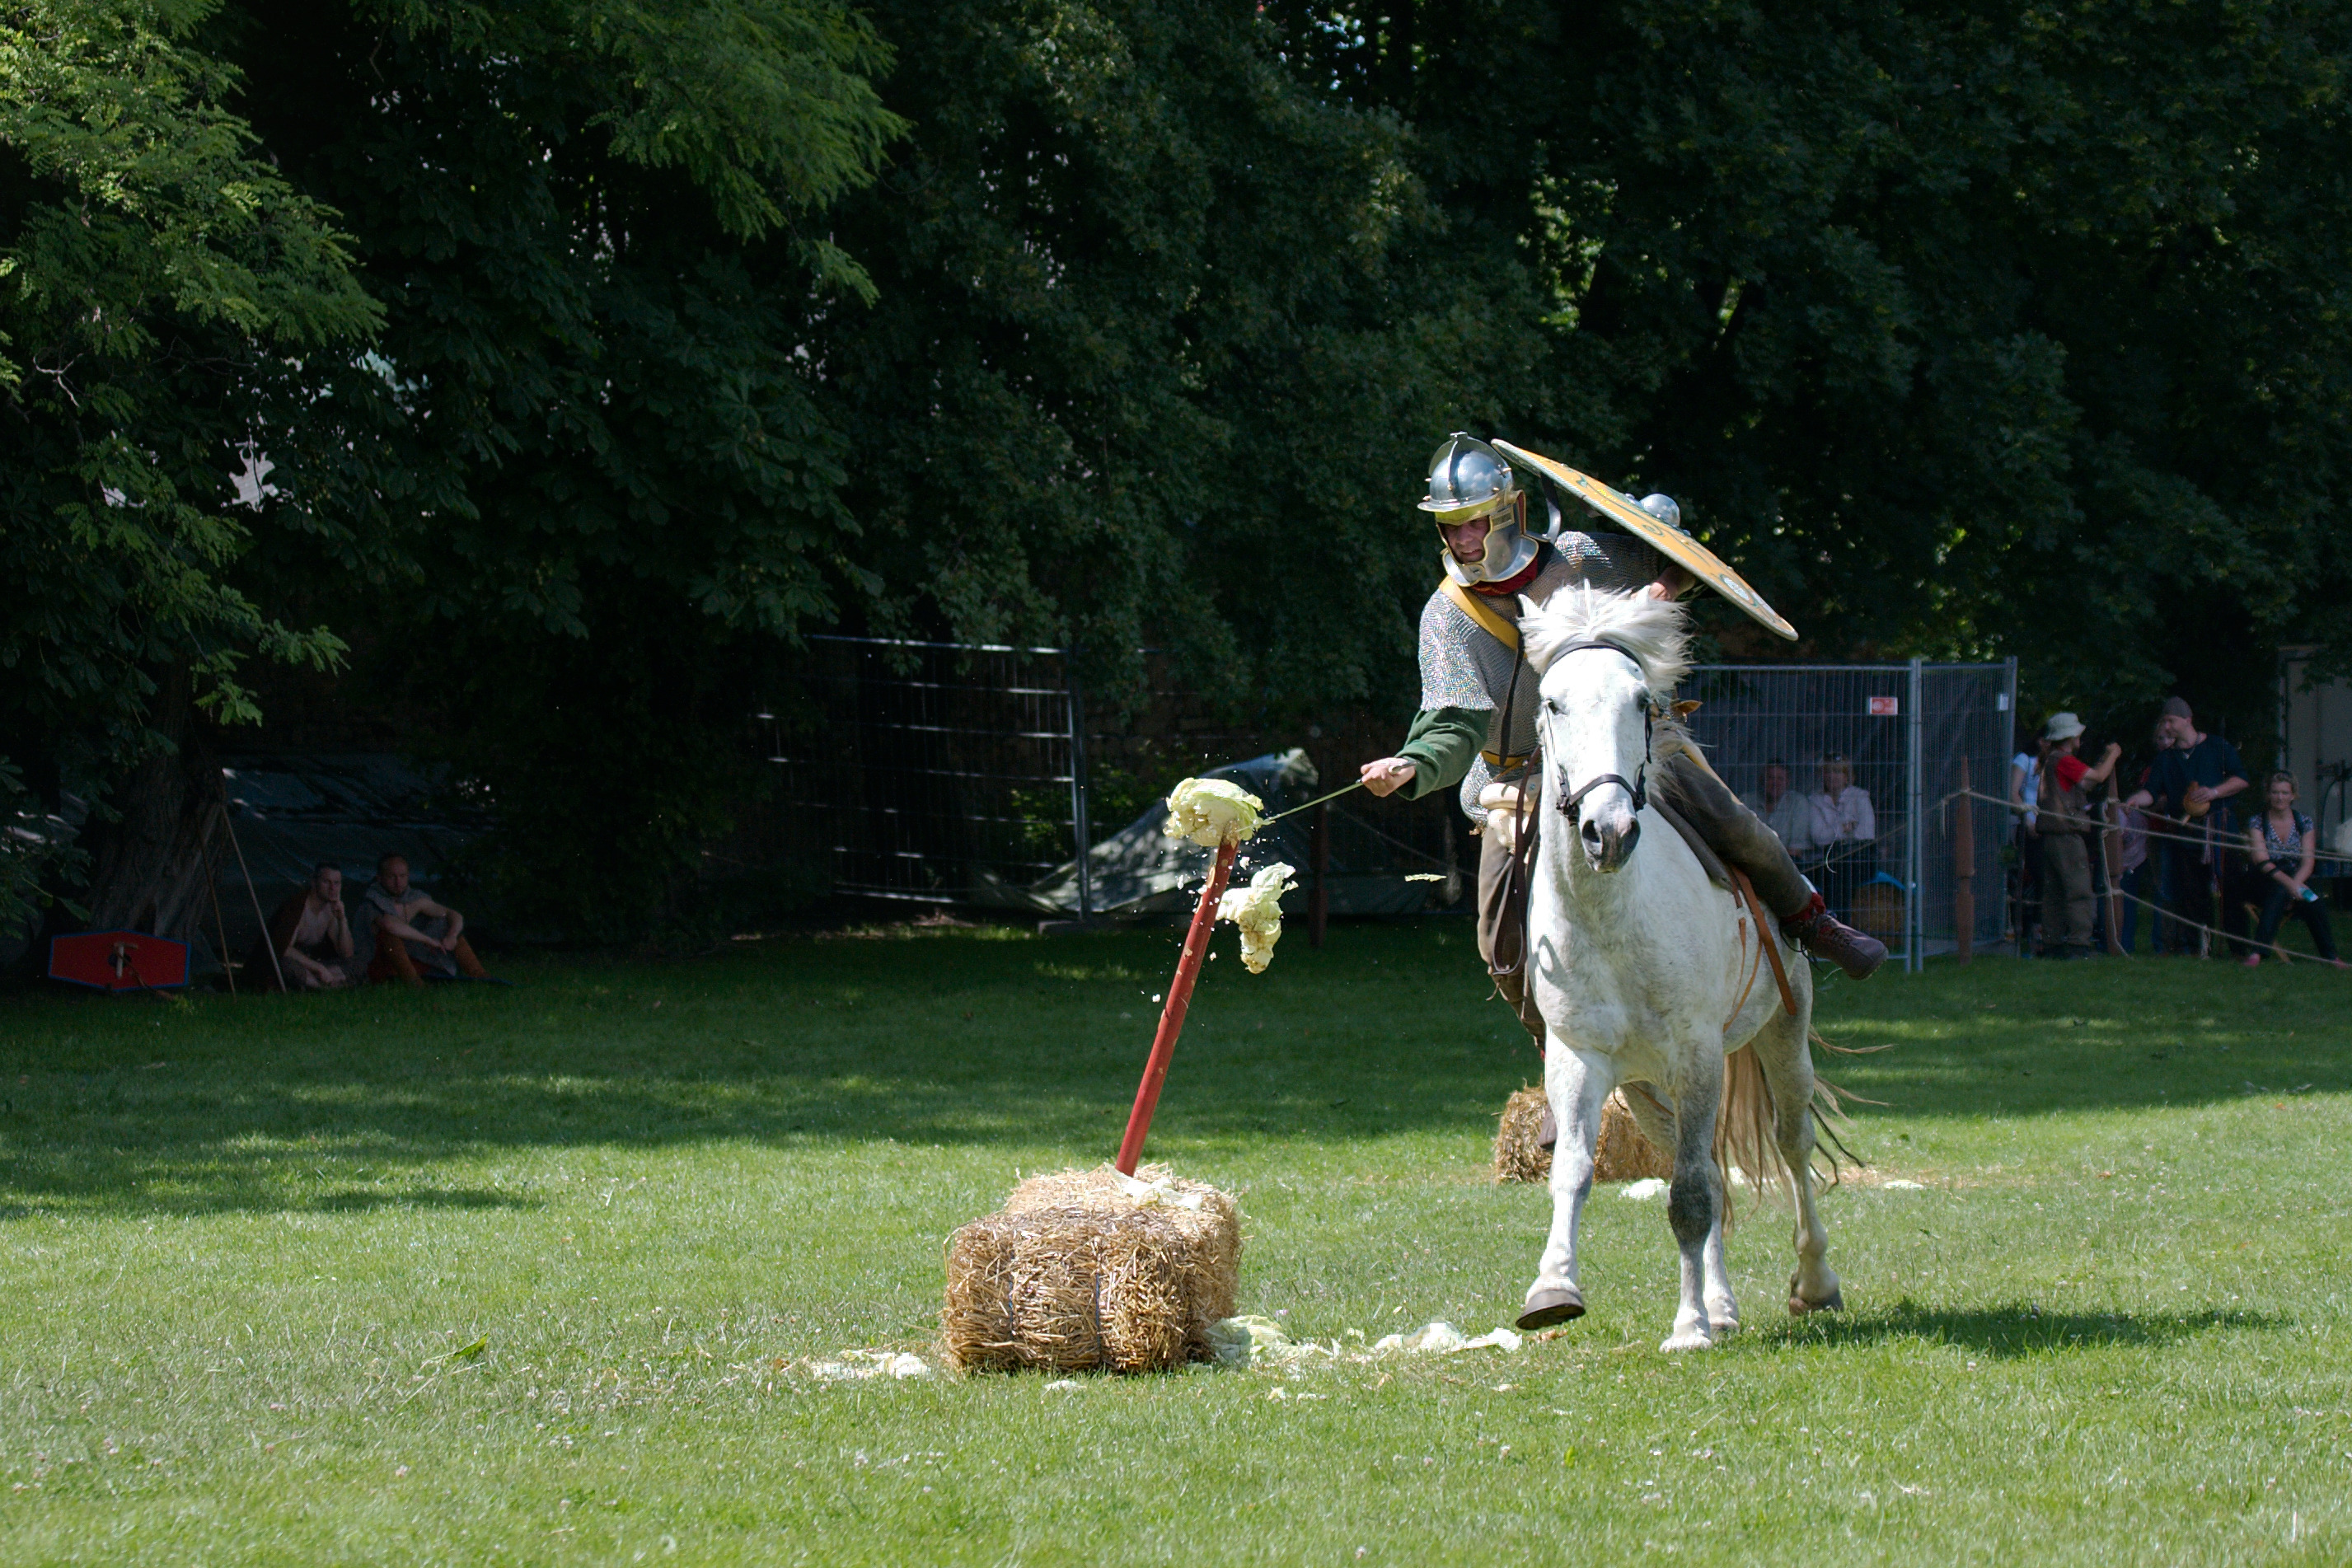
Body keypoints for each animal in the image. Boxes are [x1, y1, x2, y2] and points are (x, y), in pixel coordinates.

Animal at [1505, 587, 1853, 1354]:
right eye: (1552, 703)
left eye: (1641, 701)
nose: (1608, 830)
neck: (1615, 922)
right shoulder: (1579, 1059)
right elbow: (1575, 1172)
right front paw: (1553, 1286)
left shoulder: (1697, 1056)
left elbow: (1690, 1194)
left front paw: (1689, 1325)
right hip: (1647, 1092)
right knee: (1715, 1168)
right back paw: (1722, 1303)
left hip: (1782, 1035)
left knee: (1790, 1144)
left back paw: (1813, 1283)